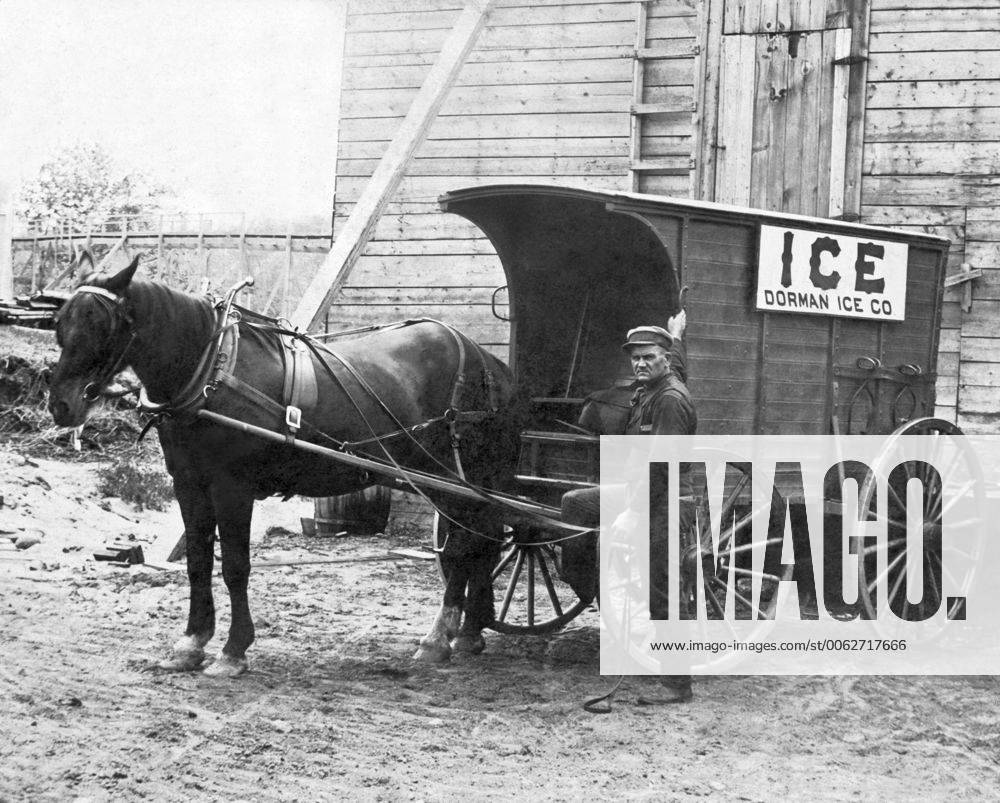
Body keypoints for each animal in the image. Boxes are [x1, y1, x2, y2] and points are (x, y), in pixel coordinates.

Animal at [47, 253, 520, 680]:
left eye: (103, 325)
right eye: (60, 324)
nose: (61, 406)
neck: (211, 370)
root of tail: (489, 364)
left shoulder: (231, 487)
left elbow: (235, 566)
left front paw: (233, 650)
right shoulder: (189, 484)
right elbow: (198, 562)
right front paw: (191, 643)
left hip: (452, 478)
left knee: (463, 548)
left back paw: (439, 638)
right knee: (484, 541)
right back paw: (470, 632)